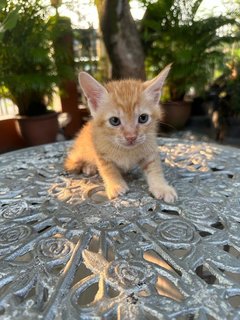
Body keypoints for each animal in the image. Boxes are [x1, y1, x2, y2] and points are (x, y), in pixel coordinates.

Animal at [64, 64, 177, 202]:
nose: (131, 137)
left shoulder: (149, 149)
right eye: (114, 121)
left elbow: (155, 168)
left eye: (143, 118)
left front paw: (161, 187)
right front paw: (115, 185)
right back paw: (89, 167)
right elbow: (109, 170)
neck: (126, 151)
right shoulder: (101, 153)